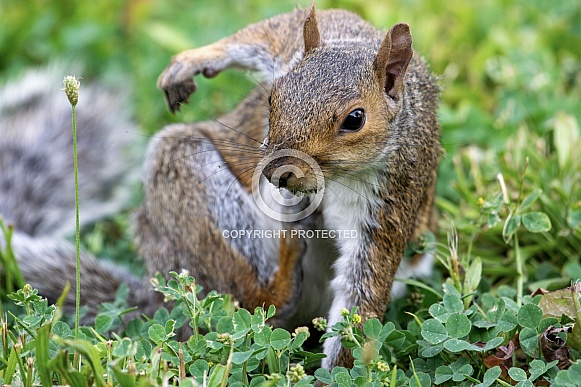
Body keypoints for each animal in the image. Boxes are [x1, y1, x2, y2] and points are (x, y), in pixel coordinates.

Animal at [1, 5, 440, 370]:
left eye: (355, 119)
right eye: (272, 97)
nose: (277, 174)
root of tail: (160, 295)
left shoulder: (391, 198)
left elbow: (362, 294)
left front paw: (335, 374)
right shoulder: (304, 39)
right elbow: (268, 30)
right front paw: (191, 62)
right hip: (190, 184)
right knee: (244, 298)